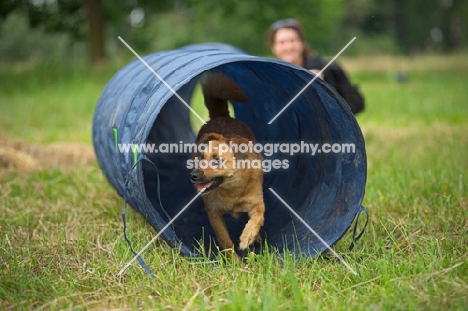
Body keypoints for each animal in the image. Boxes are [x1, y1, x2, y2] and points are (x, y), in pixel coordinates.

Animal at [190, 72, 264, 258]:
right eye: (200, 157)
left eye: (217, 160)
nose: (193, 175)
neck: (232, 190)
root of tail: (221, 115)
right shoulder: (214, 214)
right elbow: (225, 240)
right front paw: (233, 261)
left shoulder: (257, 203)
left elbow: (258, 217)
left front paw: (248, 236)